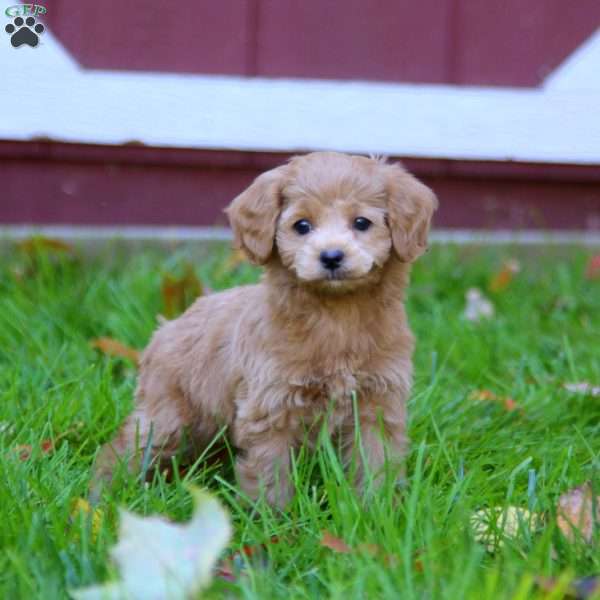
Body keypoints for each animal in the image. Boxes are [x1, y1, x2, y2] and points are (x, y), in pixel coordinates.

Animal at [96, 151, 438, 506]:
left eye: (361, 223)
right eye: (302, 225)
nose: (331, 256)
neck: (336, 316)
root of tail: (165, 329)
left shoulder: (378, 404)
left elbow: (375, 463)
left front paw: (377, 507)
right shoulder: (271, 408)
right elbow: (269, 476)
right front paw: (272, 518)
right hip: (168, 417)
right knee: (123, 449)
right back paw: (103, 494)